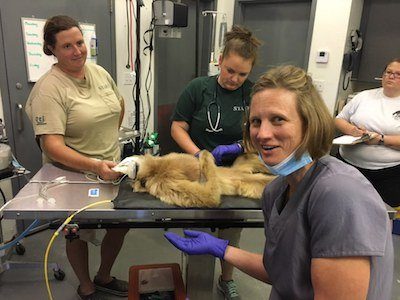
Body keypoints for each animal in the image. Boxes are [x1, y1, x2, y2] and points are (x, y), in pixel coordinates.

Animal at [131, 151, 276, 207]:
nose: (134, 182)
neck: (157, 171)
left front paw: (204, 154)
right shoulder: (165, 185)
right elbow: (210, 197)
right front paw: (205, 154)